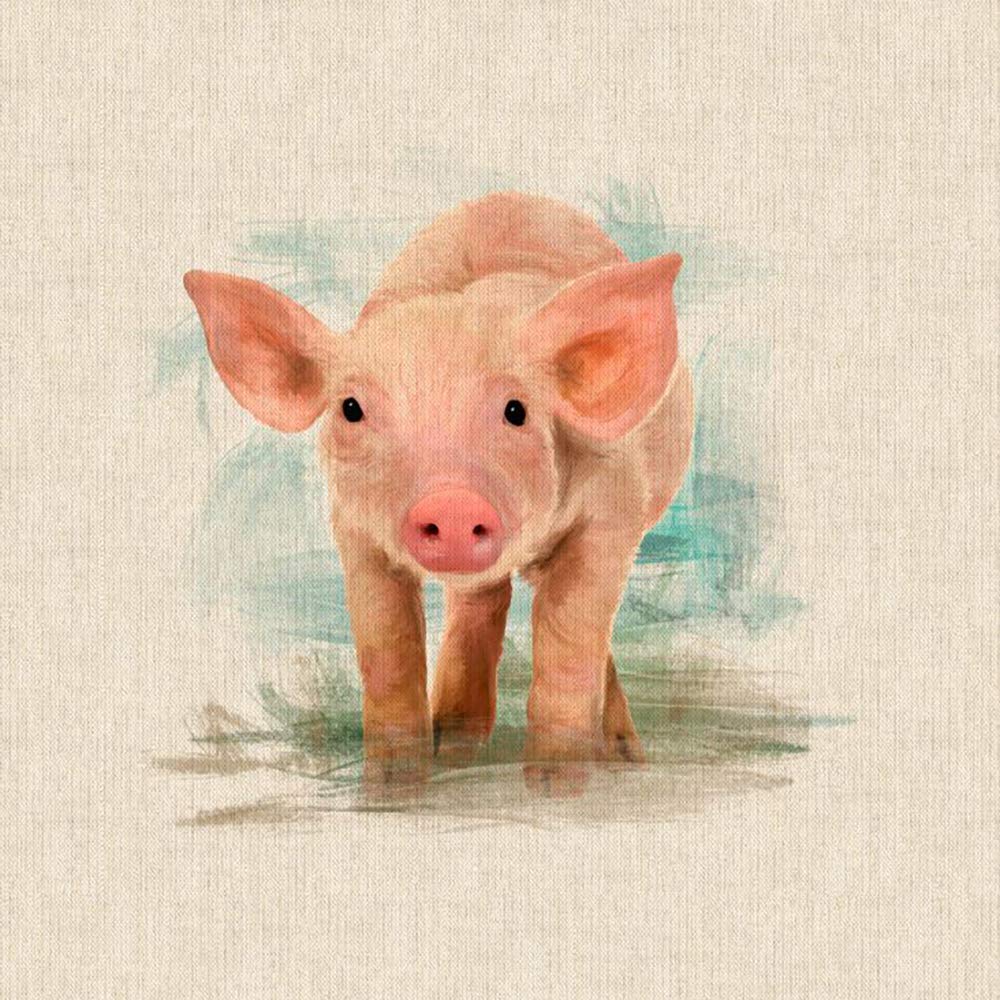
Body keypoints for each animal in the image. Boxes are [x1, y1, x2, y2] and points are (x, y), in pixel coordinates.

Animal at [183, 191, 693, 795]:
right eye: (351, 408)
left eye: (516, 411)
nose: (451, 502)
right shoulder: (354, 527)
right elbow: (387, 644)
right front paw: (391, 786)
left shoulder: (614, 511)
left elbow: (570, 636)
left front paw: (554, 786)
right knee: (479, 603)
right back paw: (455, 745)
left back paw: (622, 757)